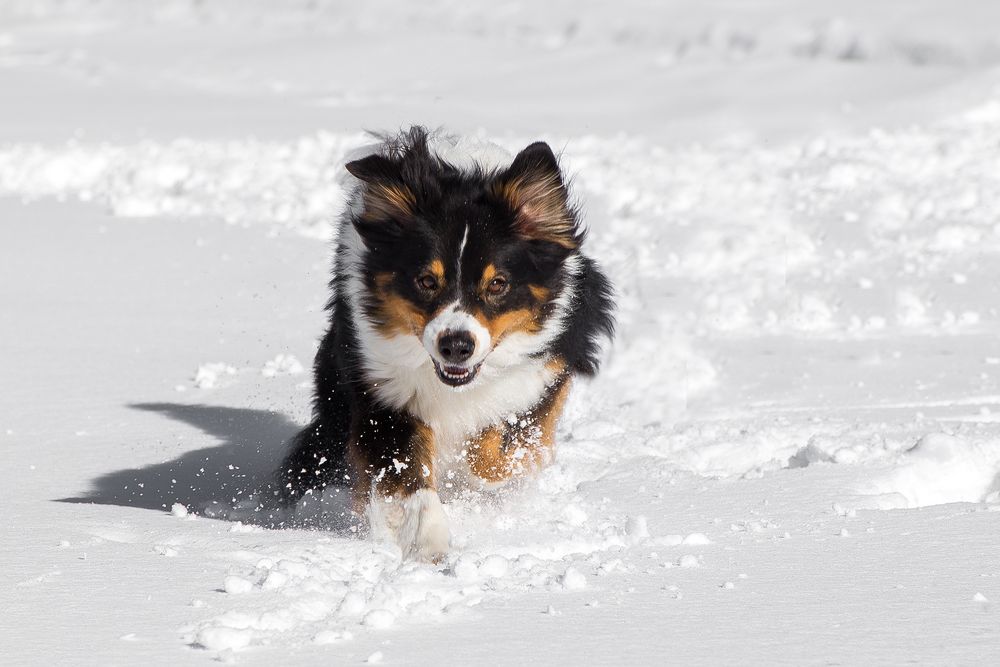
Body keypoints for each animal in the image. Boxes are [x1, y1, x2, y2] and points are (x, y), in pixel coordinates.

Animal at [278, 126, 612, 564]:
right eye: (425, 281)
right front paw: (428, 540)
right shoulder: (382, 387)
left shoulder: (551, 365)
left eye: (498, 284)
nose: (456, 346)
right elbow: (407, 466)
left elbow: (495, 453)